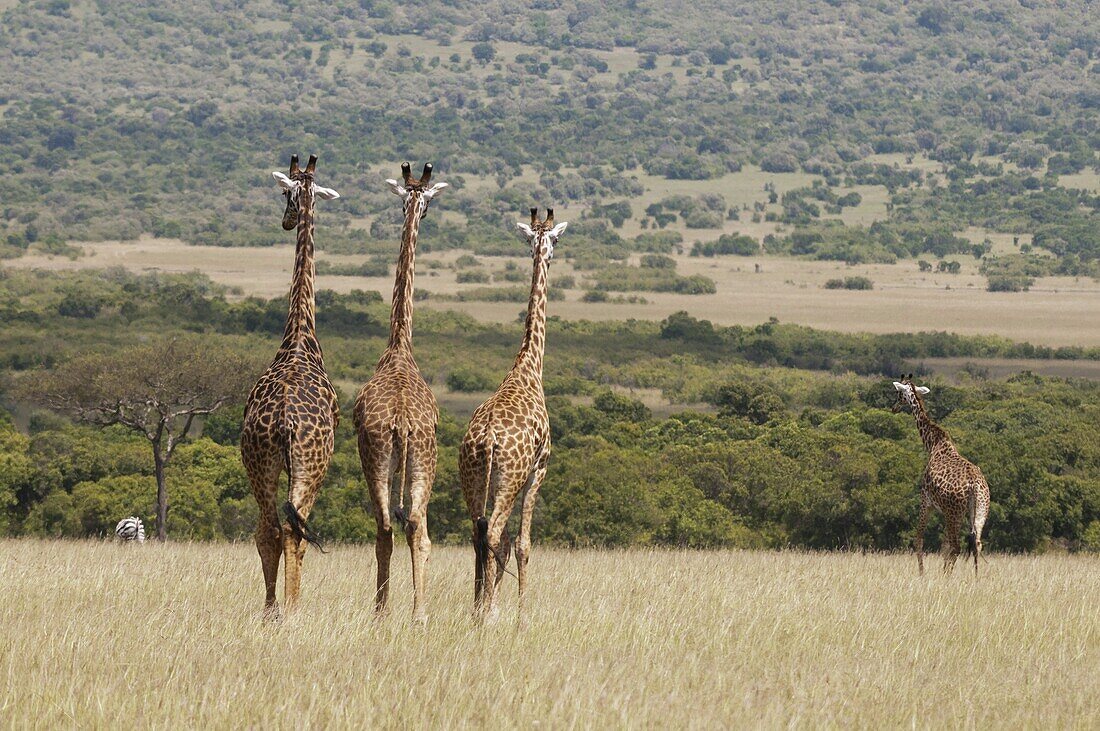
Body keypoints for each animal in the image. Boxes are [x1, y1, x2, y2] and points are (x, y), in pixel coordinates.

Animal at [459, 205, 572, 619]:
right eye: (554, 240)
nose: (549, 256)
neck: (528, 365)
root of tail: (487, 440)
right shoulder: (540, 468)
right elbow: (523, 544)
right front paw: (522, 614)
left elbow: (506, 543)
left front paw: (487, 605)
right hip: (508, 479)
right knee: (493, 532)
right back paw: (489, 611)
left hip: (472, 479)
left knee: (479, 533)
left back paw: (478, 609)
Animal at [888, 375, 994, 576]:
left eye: (899, 394)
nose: (893, 408)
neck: (933, 443)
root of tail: (975, 486)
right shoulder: (944, 511)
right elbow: (943, 547)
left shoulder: (926, 500)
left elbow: (919, 539)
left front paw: (922, 573)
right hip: (979, 511)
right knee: (976, 544)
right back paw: (975, 578)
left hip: (955, 513)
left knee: (957, 546)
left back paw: (947, 576)